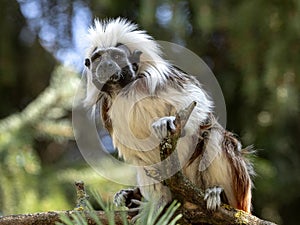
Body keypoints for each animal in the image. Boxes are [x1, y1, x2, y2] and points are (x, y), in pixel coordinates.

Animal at [82, 17, 253, 214]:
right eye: (98, 59)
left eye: (116, 57)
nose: (107, 66)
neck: (125, 90)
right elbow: (140, 157)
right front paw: (157, 203)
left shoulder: (163, 80)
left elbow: (196, 101)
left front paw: (167, 122)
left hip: (235, 192)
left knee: (215, 134)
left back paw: (218, 192)